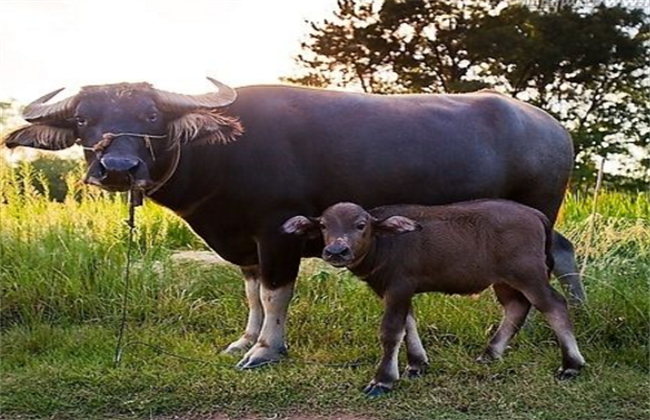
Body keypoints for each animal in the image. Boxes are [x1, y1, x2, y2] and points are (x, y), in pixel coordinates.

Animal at [2, 78, 584, 368]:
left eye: (151, 116)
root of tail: (555, 129)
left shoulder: (276, 233)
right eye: (83, 120)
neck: (222, 150)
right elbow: (253, 294)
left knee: (534, 285)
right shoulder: (244, 244)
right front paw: (244, 340)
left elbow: (277, 294)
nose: (119, 168)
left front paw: (265, 351)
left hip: (533, 221)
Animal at [280, 200, 584, 398]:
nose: (336, 251)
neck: (385, 243)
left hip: (529, 273)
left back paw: (571, 365)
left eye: (360, 225)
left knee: (554, 305)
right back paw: (490, 353)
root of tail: (535, 214)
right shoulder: (398, 290)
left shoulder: (399, 287)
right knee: (516, 307)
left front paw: (383, 380)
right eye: (323, 225)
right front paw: (417, 364)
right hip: (504, 280)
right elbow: (408, 324)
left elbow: (391, 331)